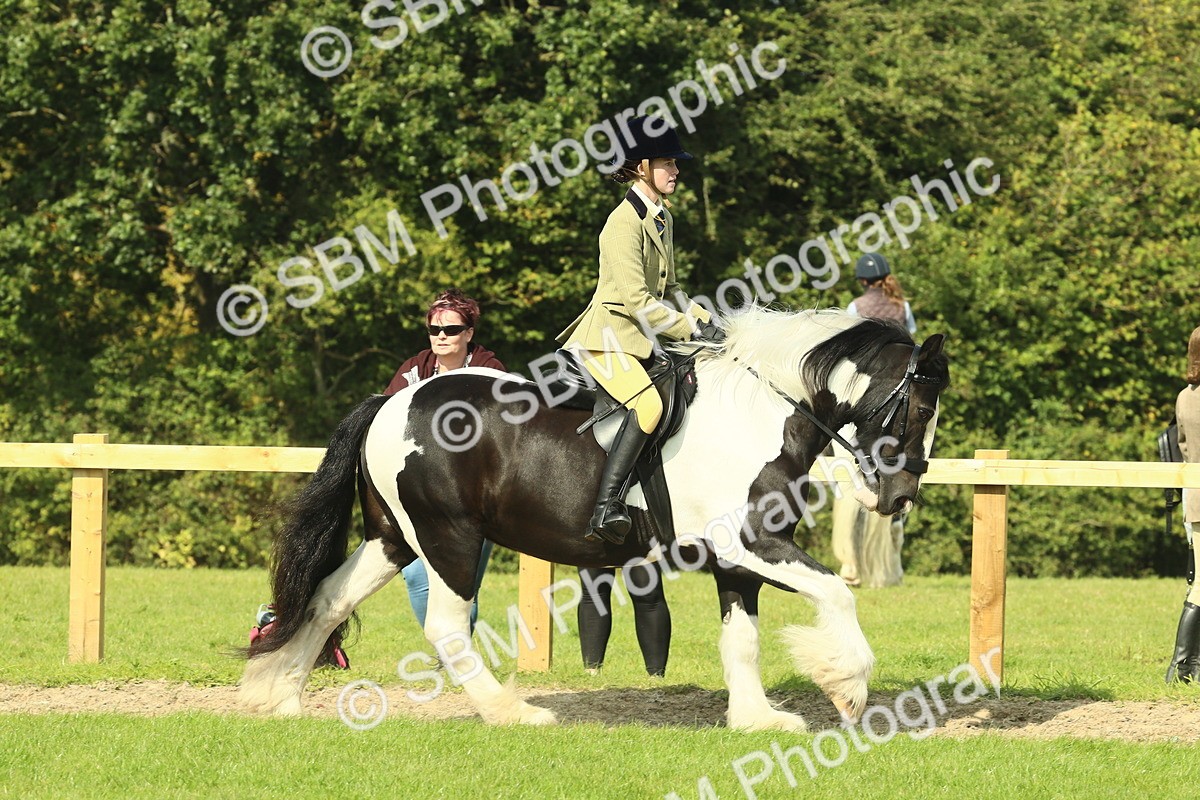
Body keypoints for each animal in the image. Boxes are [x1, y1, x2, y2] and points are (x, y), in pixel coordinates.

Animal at [240, 306, 949, 732]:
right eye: (919, 406)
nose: (901, 495)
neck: (762, 412)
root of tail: (393, 403)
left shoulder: (739, 559)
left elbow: (741, 638)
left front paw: (757, 718)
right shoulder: (750, 542)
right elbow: (836, 593)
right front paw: (848, 688)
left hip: (394, 539)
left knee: (326, 598)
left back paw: (280, 697)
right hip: (448, 539)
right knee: (444, 626)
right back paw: (513, 712)